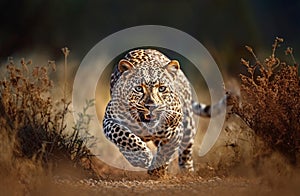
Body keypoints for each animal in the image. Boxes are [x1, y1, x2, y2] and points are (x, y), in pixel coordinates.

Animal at [103, 48, 227, 176]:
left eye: (162, 88)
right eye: (138, 88)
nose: (151, 106)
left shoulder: (175, 131)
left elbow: (166, 152)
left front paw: (157, 171)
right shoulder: (109, 120)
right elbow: (122, 135)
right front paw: (142, 157)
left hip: (188, 125)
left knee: (186, 152)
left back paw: (187, 172)